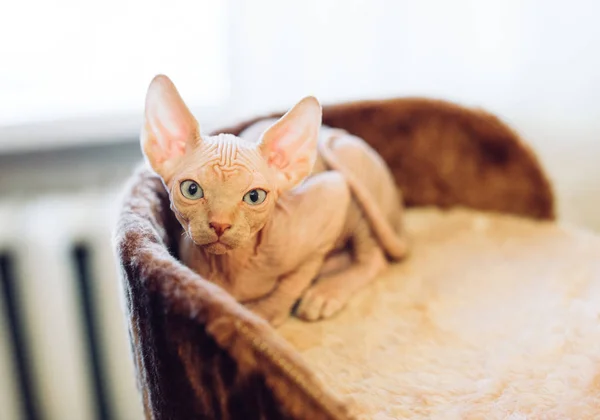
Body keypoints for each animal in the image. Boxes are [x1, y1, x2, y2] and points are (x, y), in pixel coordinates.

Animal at [141, 74, 408, 324]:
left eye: (254, 196)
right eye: (192, 190)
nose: (219, 224)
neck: (231, 267)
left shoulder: (333, 192)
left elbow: (294, 281)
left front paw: (261, 317)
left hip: (349, 167)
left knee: (375, 257)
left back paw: (327, 289)